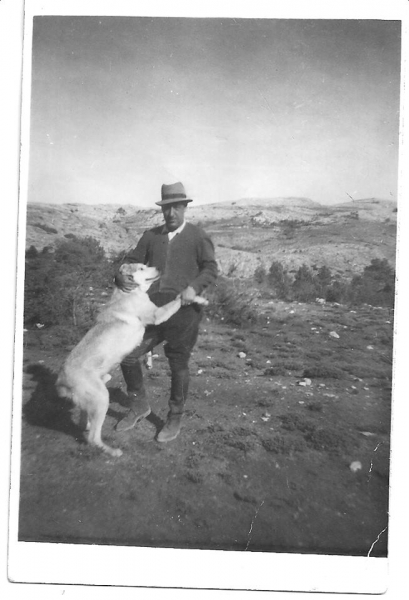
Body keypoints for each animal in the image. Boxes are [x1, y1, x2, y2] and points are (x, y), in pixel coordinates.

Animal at [55, 264, 207, 458]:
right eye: (141, 267)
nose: (158, 267)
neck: (129, 292)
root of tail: (61, 380)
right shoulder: (157, 314)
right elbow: (178, 299)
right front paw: (195, 298)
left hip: (93, 398)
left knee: (85, 424)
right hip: (101, 399)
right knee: (93, 438)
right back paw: (112, 451)